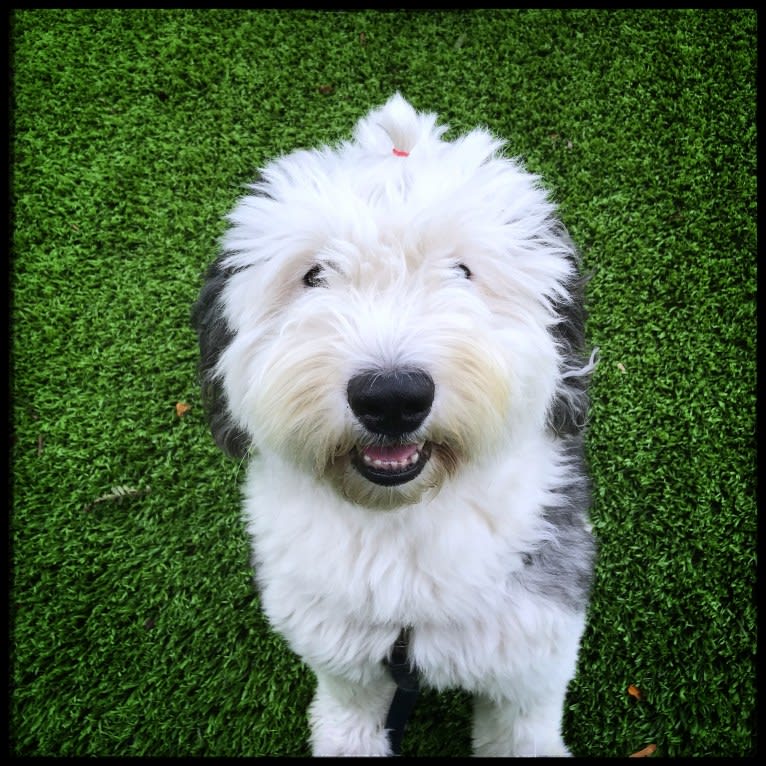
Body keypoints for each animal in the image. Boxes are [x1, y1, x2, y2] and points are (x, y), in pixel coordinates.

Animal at [192, 94, 600, 756]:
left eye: (462, 270)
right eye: (314, 275)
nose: (390, 397)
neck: (399, 530)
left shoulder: (530, 651)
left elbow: (522, 729)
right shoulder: (343, 655)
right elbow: (348, 717)